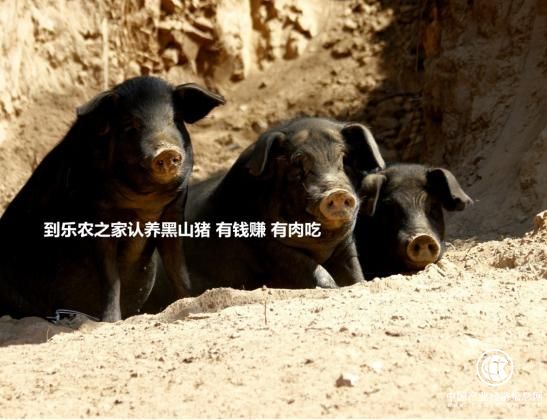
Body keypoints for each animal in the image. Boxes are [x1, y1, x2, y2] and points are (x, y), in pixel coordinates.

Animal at [0, 76, 224, 321]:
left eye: (175, 119)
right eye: (130, 125)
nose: (166, 150)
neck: (145, 206)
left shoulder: (174, 211)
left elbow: (178, 269)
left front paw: (190, 302)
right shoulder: (99, 217)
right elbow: (111, 279)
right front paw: (111, 321)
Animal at [160, 117, 385, 299]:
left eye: (345, 159)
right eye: (297, 165)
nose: (337, 193)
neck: (320, 246)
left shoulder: (346, 245)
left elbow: (354, 273)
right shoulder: (265, 246)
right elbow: (311, 270)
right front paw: (333, 287)